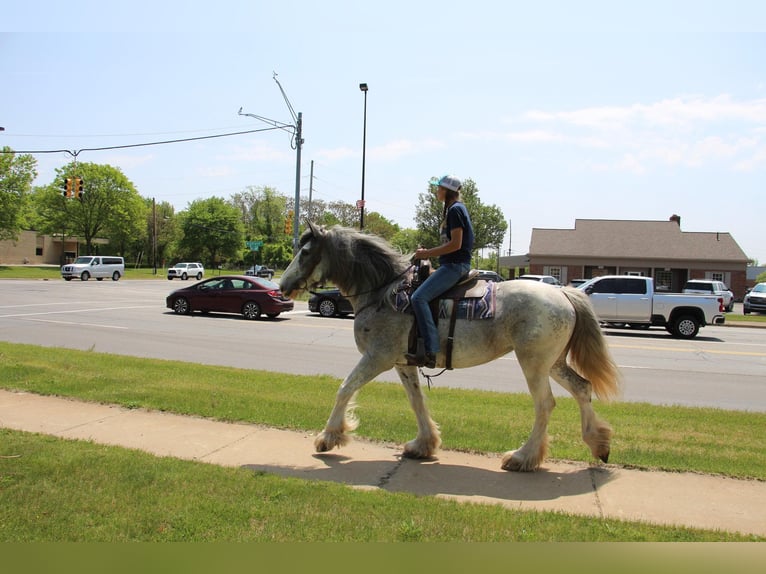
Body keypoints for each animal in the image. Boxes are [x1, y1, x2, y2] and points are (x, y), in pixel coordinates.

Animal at [282, 224, 624, 472]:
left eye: (306, 251)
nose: (284, 285)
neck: (383, 292)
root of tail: (564, 294)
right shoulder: (403, 362)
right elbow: (416, 401)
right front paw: (424, 444)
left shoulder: (377, 357)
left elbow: (344, 389)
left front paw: (329, 437)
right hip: (553, 362)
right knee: (582, 388)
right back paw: (599, 445)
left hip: (534, 364)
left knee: (545, 405)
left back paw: (523, 457)